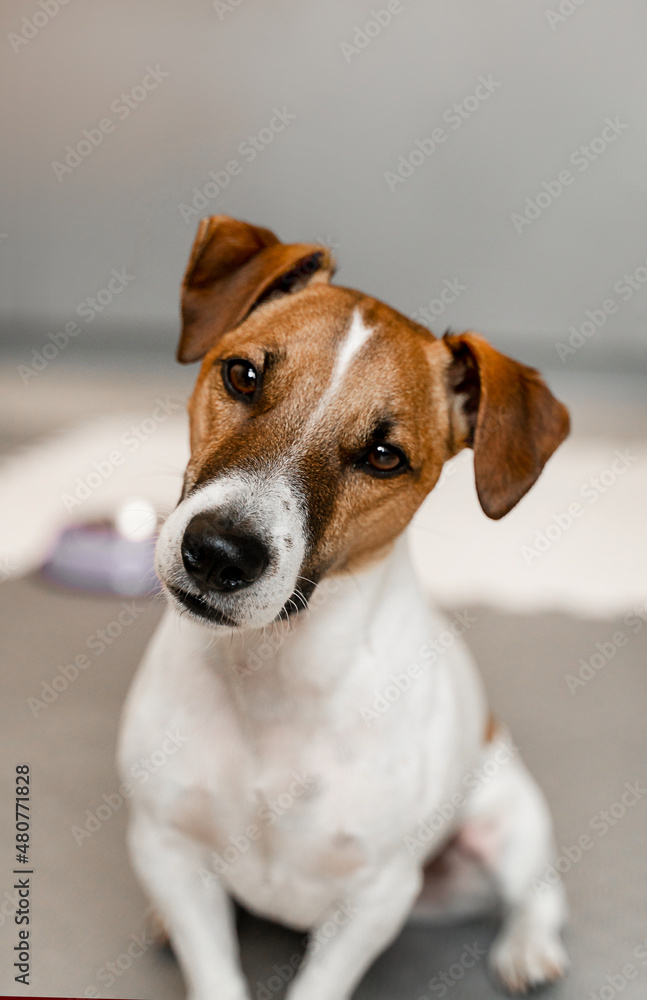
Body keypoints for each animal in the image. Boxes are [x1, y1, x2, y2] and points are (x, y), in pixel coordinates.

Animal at [119, 217, 568, 1000]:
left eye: (384, 456)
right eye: (242, 376)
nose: (218, 553)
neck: (272, 677)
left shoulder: (374, 898)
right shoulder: (167, 848)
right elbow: (212, 965)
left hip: (508, 821)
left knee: (540, 890)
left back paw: (529, 947)